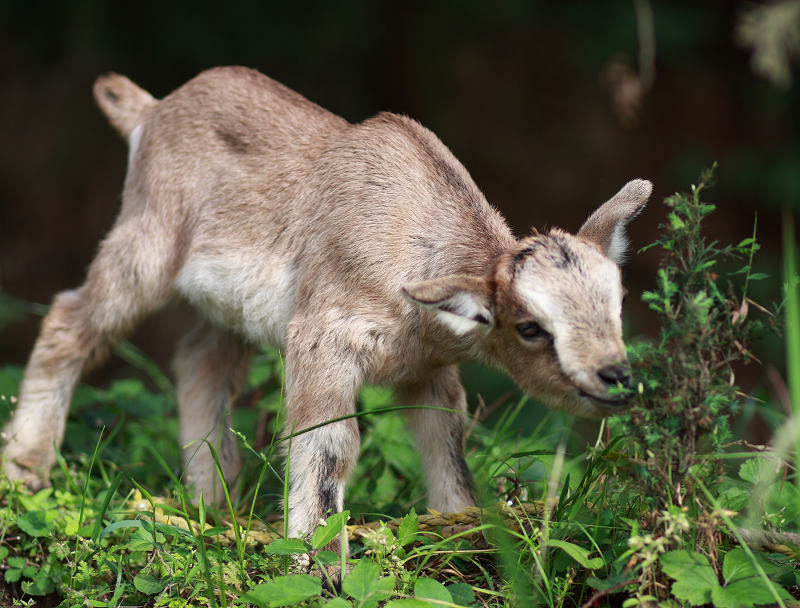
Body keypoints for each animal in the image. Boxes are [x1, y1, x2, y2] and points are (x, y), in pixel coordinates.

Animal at [1, 66, 648, 556]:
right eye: (530, 327)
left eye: (616, 305)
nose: (615, 376)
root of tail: (150, 111)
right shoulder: (322, 342)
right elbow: (331, 444)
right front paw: (315, 562)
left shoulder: (427, 369)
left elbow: (447, 441)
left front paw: (458, 525)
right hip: (147, 243)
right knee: (71, 319)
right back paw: (27, 467)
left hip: (227, 311)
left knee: (199, 363)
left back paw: (211, 505)